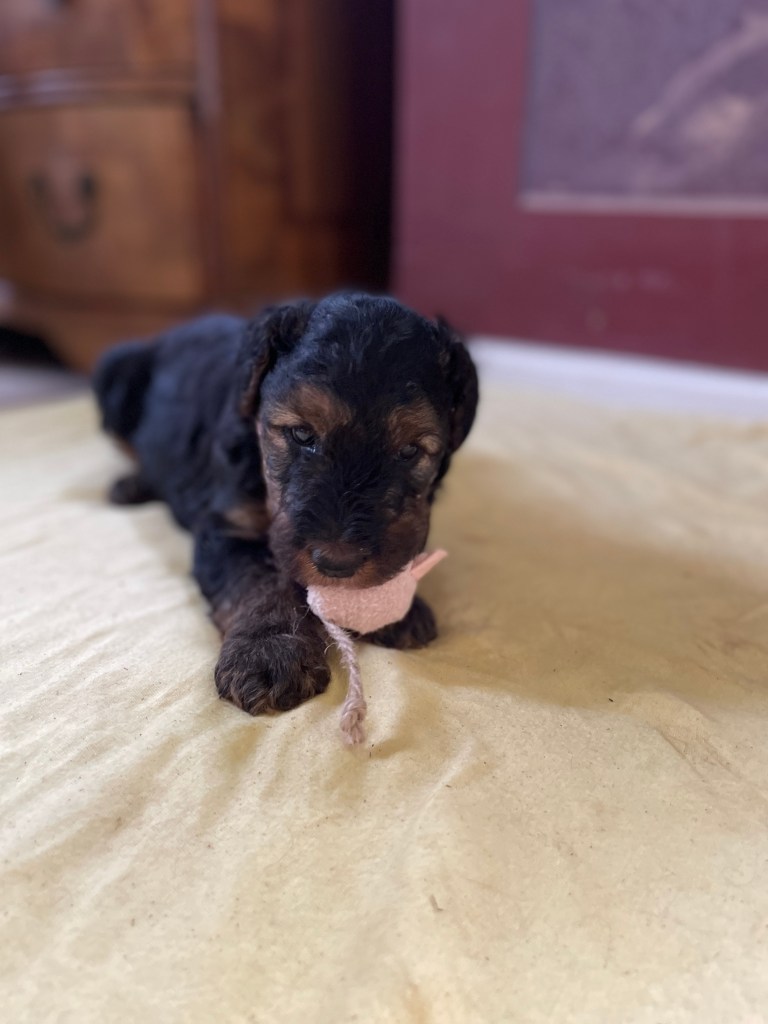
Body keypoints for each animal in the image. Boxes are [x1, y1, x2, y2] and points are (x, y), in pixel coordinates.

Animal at [94, 293, 478, 714]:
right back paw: (132, 484)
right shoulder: (227, 527)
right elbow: (261, 579)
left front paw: (401, 610)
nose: (337, 563)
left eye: (409, 451)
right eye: (301, 433)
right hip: (115, 376)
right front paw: (270, 651)